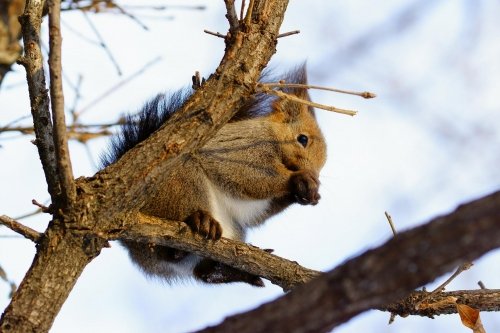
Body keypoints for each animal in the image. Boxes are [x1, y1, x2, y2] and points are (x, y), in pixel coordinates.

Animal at [101, 65, 328, 286]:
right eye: (302, 139)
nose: (314, 174)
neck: (271, 135)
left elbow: (256, 212)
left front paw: (309, 193)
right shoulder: (243, 148)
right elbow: (250, 177)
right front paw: (298, 180)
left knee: (202, 272)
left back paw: (226, 271)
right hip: (181, 184)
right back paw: (200, 223)